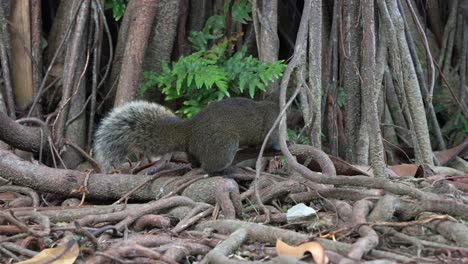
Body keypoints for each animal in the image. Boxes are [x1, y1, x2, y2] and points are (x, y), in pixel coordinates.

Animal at [93, 97, 280, 173]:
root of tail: (189, 131)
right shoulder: (272, 125)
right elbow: (271, 141)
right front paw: (282, 145)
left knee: (194, 160)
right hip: (223, 144)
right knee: (210, 165)